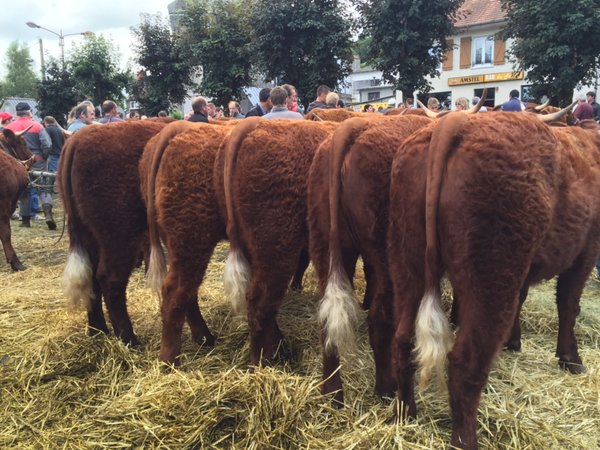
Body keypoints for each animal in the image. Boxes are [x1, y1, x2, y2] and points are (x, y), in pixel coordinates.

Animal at [60, 119, 170, 344]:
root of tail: (78, 138)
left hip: (90, 236)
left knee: (92, 278)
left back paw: (98, 330)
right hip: (120, 235)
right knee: (110, 279)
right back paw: (130, 340)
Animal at [310, 114, 432, 402]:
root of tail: (350, 129)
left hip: (326, 247)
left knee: (326, 319)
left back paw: (332, 392)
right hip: (388, 256)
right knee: (379, 318)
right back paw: (385, 386)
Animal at [384, 110, 600, 448]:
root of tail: (456, 122)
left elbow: (526, 298)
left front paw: (515, 340)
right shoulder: (586, 251)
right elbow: (569, 305)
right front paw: (570, 358)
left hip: (407, 261)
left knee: (402, 340)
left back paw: (404, 413)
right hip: (493, 276)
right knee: (465, 363)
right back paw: (465, 439)